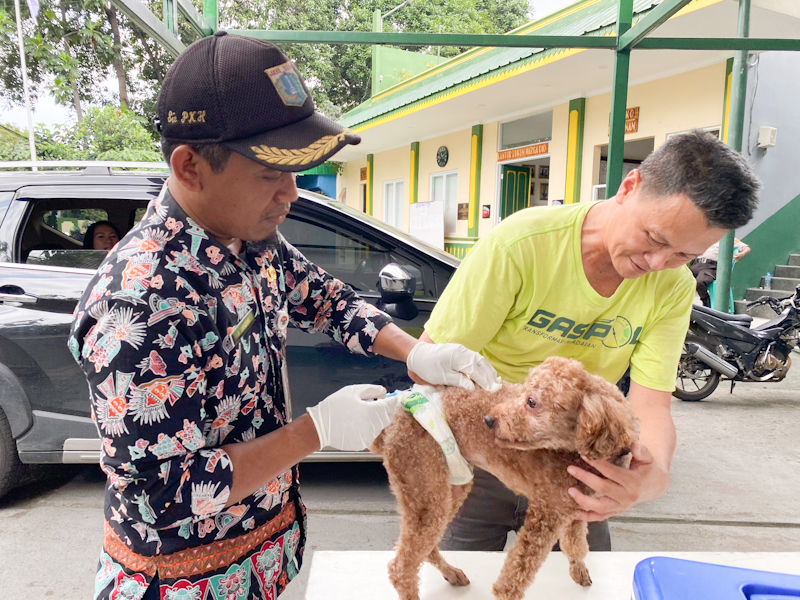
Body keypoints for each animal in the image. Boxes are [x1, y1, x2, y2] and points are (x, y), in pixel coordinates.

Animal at [372, 356, 640, 600]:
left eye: (531, 402)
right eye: (522, 391)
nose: (489, 420)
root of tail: (390, 425)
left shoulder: (571, 506)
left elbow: (575, 543)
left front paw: (579, 569)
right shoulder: (547, 513)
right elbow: (515, 574)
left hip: (448, 486)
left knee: (424, 548)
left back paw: (451, 572)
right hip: (423, 483)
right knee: (401, 568)